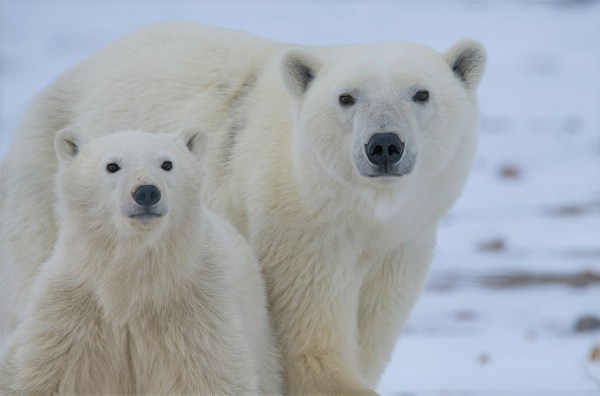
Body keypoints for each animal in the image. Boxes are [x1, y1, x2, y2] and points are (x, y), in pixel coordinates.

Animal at [0, 128, 282, 394]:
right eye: (112, 165)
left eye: (167, 163)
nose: (146, 192)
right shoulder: (71, 306)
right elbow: (33, 372)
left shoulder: (195, 309)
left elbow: (209, 376)